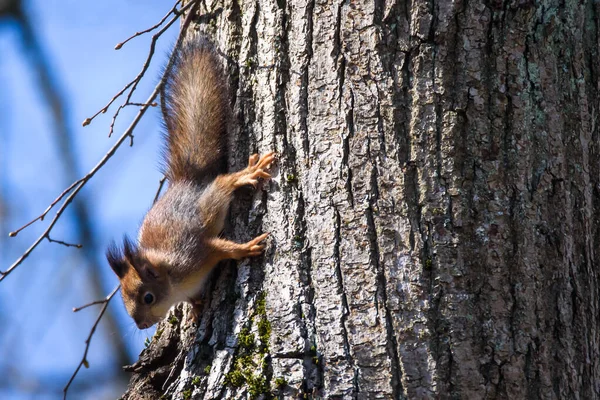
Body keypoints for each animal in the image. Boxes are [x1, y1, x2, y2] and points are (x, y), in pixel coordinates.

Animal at [106, 36, 276, 330]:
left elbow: (222, 248)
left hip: (211, 199)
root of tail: (186, 181)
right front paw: (196, 308)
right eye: (124, 300)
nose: (141, 325)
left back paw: (246, 174)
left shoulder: (194, 254)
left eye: (148, 297)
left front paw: (245, 248)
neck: (171, 277)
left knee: (223, 182)